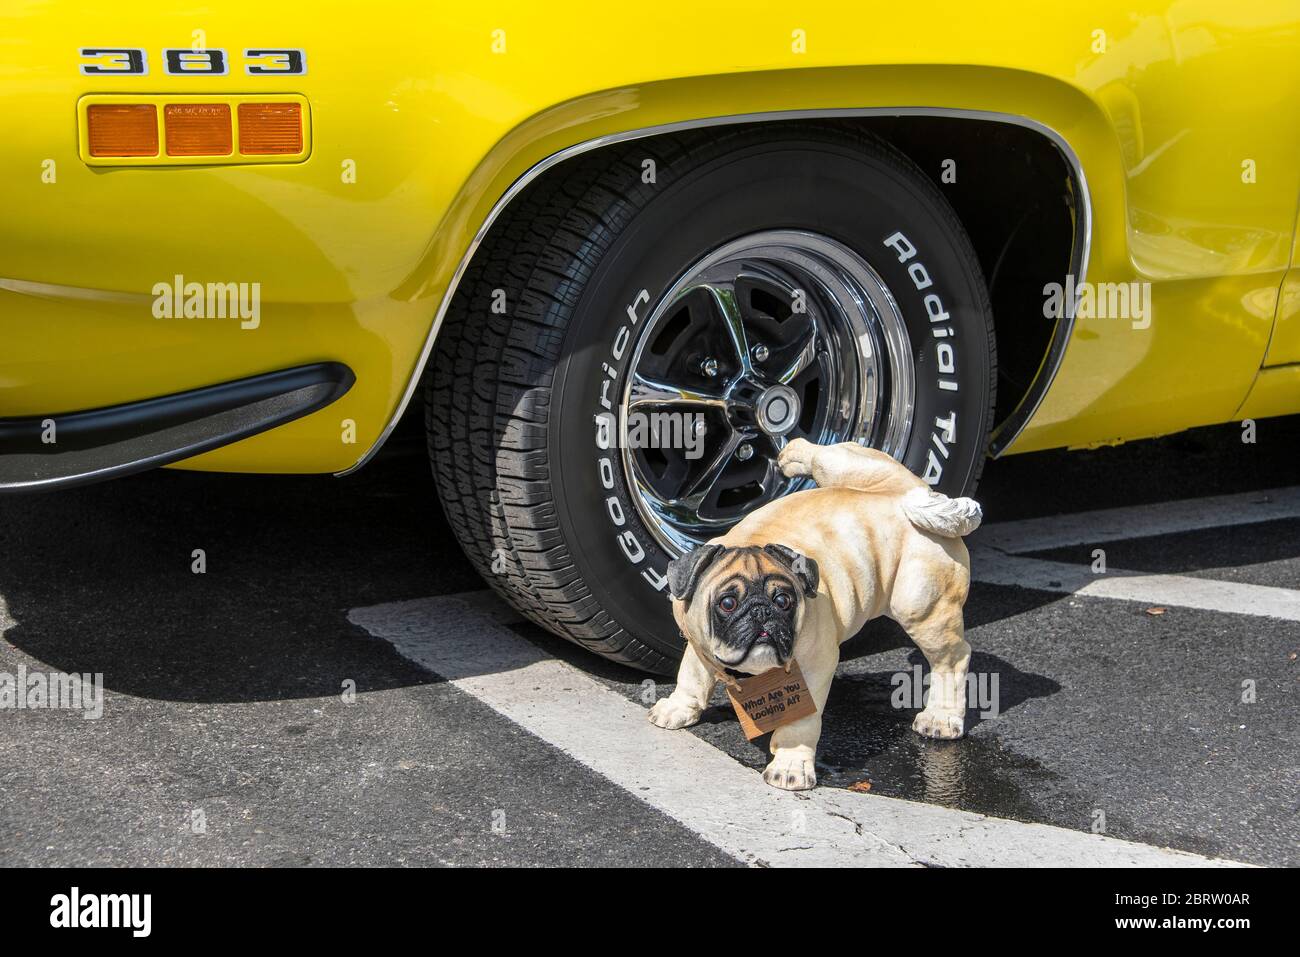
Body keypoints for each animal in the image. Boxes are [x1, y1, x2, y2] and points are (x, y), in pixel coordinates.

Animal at [644, 436, 977, 790]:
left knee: (952, 660)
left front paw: (790, 764)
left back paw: (942, 716)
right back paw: (794, 456)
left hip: (921, 609)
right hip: (854, 469)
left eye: (783, 601)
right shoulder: (697, 641)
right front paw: (679, 707)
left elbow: (798, 725)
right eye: (727, 603)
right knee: (827, 455)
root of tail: (910, 499)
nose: (761, 612)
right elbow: (692, 674)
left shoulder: (813, 669)